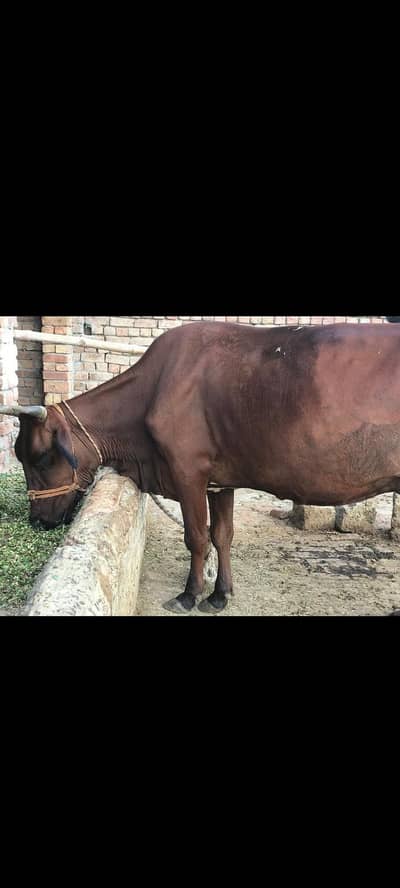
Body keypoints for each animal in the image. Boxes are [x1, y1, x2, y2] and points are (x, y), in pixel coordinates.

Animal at [1, 321, 399, 614]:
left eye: (40, 457)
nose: (37, 520)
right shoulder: (220, 480)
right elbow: (222, 535)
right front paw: (220, 595)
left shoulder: (187, 473)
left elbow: (196, 537)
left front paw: (189, 595)